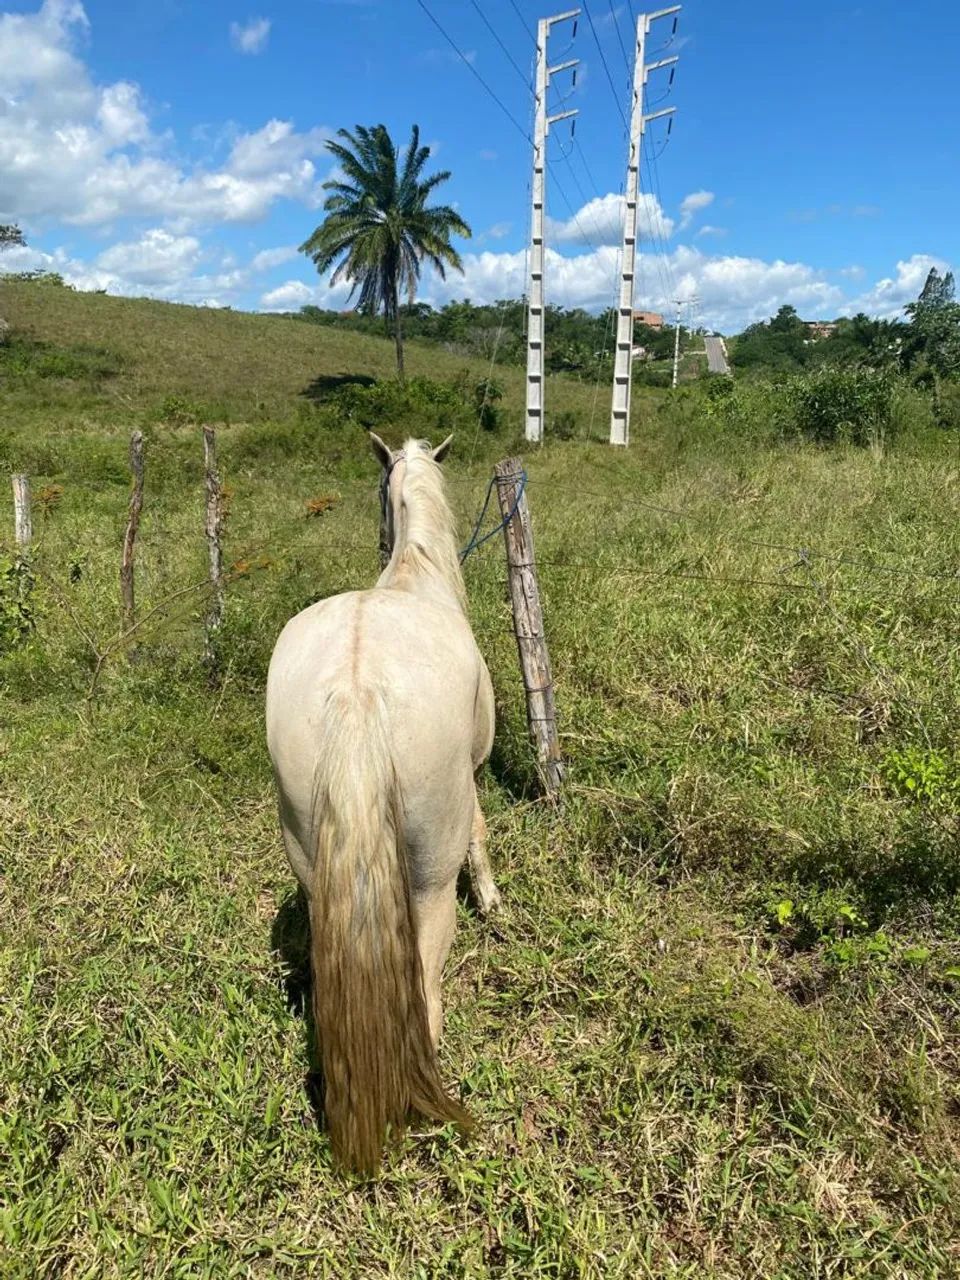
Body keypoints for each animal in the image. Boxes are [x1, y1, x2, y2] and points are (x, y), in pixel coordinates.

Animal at [265, 433, 500, 1174]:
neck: (416, 576)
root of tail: (356, 690)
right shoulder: (473, 773)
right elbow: (481, 831)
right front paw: (493, 900)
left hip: (312, 861)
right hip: (425, 882)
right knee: (426, 988)